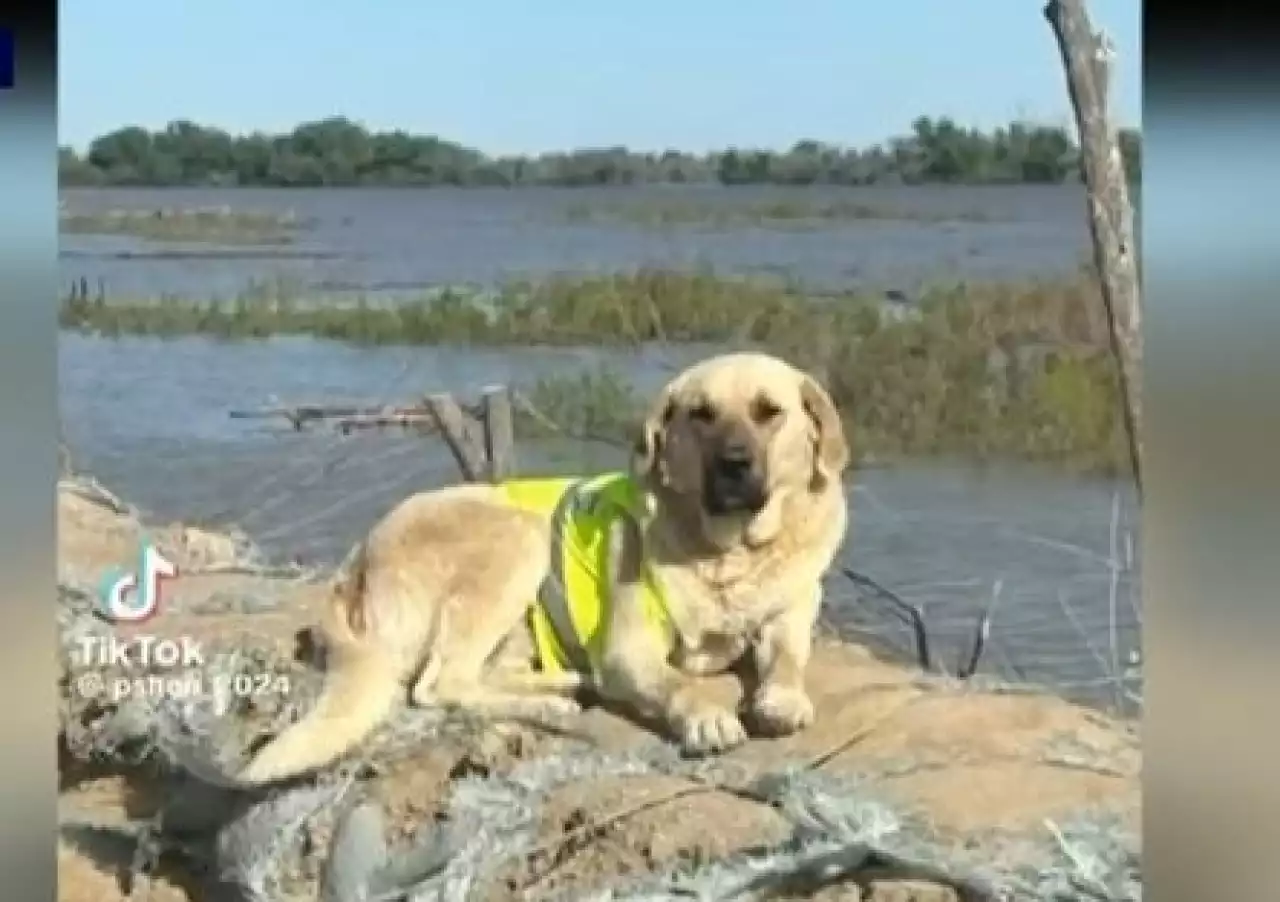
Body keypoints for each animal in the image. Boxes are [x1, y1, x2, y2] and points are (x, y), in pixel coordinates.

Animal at [239, 348, 849, 783]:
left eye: (769, 413)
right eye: (701, 416)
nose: (733, 464)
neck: (730, 552)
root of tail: (357, 560)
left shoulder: (788, 618)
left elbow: (788, 658)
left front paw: (783, 697)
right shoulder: (629, 649)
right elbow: (676, 682)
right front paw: (704, 715)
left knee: (473, 674)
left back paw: (564, 686)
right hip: (521, 535)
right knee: (439, 684)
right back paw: (554, 707)